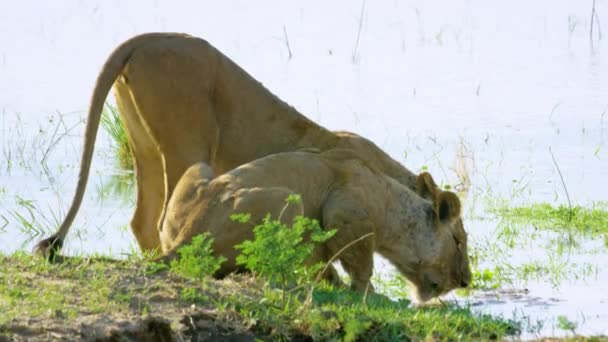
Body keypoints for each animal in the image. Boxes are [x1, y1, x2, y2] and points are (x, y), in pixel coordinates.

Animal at [160, 150, 470, 302]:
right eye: (458, 241)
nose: (466, 281)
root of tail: (185, 236)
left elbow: (325, 267)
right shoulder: (343, 210)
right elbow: (361, 267)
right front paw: (370, 296)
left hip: (199, 169)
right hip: (288, 198)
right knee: (262, 267)